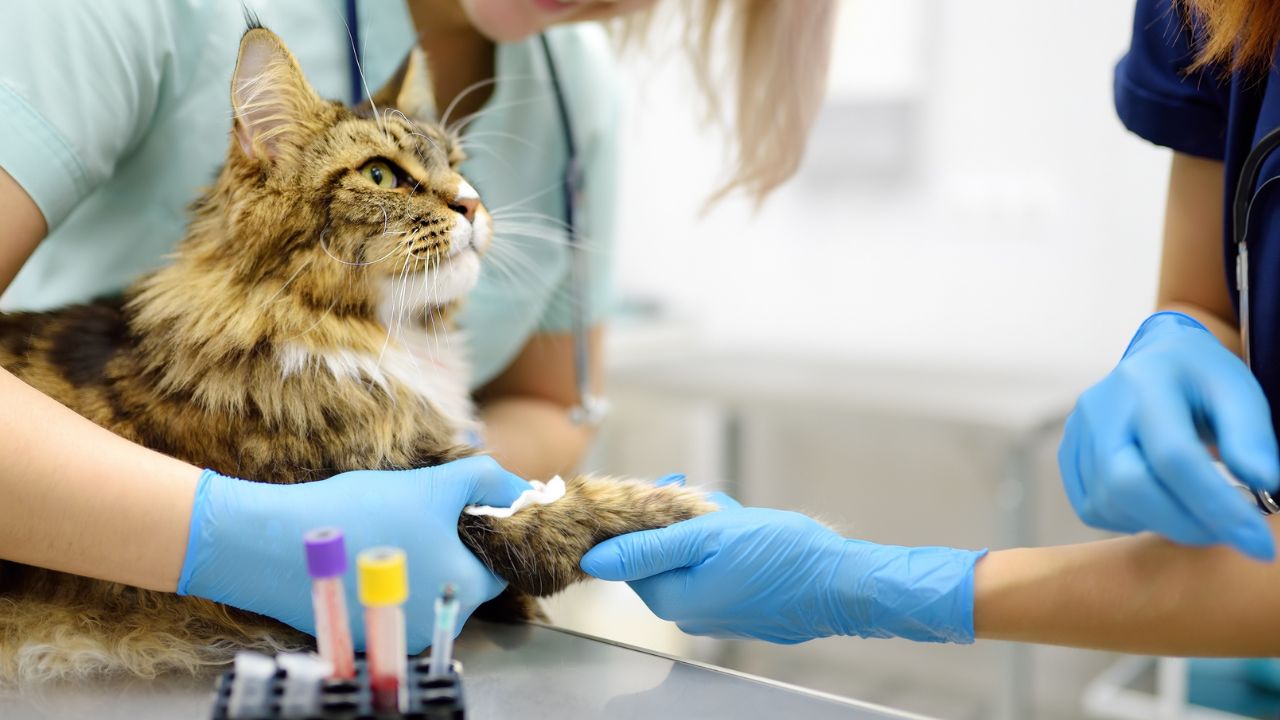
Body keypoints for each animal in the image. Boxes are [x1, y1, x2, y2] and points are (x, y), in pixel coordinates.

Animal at [0, 22, 716, 681]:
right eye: (381, 174)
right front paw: (691, 510)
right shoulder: (418, 491)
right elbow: (563, 515)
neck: (378, 339)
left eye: (458, 165)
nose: (473, 205)